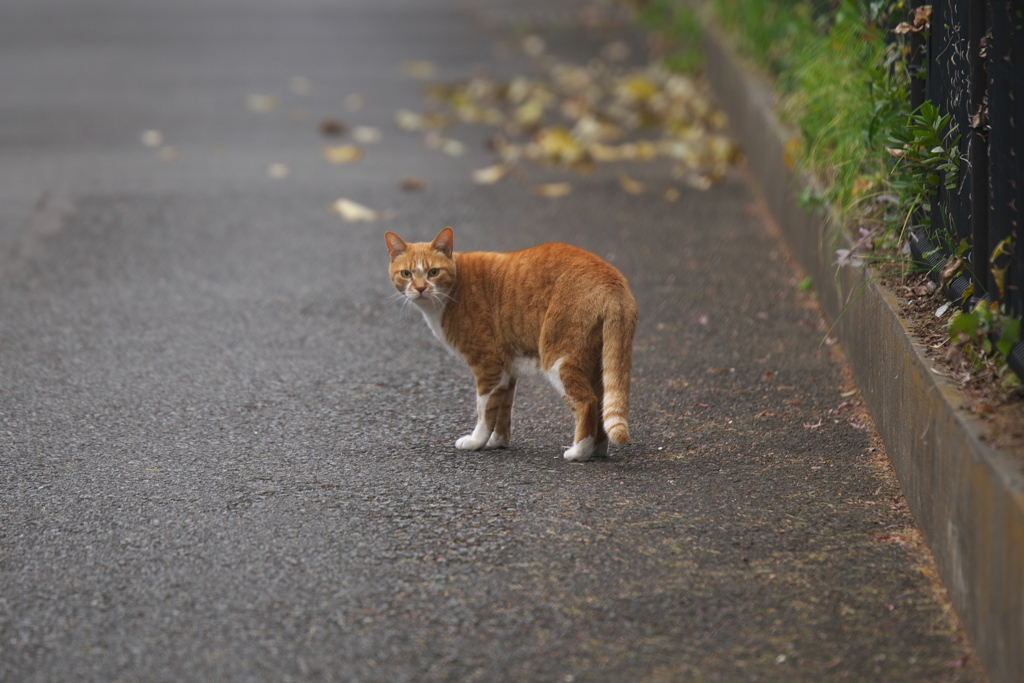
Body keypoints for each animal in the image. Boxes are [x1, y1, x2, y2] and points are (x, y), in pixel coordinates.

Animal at [385, 227, 634, 462]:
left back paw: (580, 452)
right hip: (596, 362)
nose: (420, 288)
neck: (452, 292)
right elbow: (502, 411)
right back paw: (597, 450)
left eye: (433, 272)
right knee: (601, 402)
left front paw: (476, 441)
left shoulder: (488, 366)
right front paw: (497, 442)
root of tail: (612, 280)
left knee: (587, 402)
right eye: (406, 274)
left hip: (558, 358)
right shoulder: (506, 370)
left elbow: (484, 411)